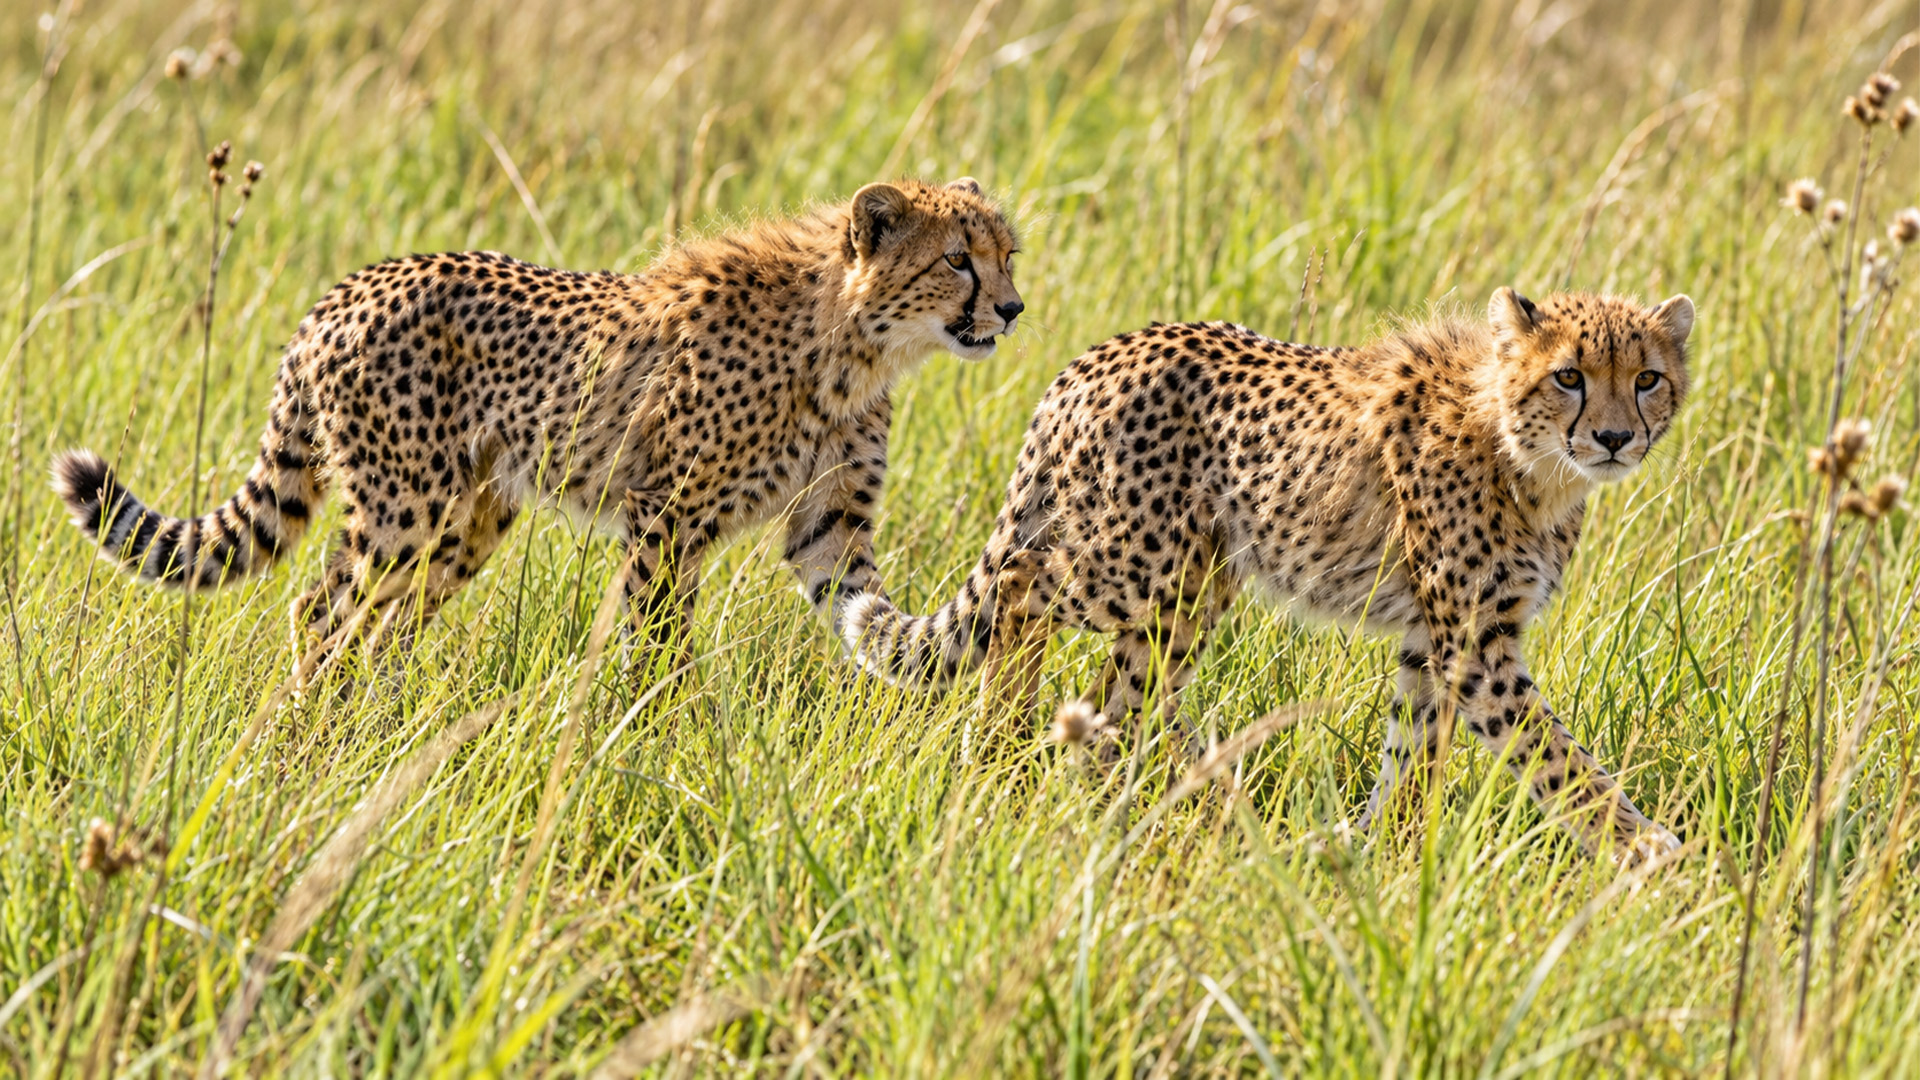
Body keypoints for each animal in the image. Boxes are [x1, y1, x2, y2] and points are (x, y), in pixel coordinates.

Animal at [52, 177, 1022, 675]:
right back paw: (312, 735)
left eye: (1008, 252)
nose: (1011, 308)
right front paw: (657, 737)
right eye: (956, 261)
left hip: (469, 515)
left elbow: (864, 607)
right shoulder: (666, 516)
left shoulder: (829, 523)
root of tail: (349, 286)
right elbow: (654, 640)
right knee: (322, 611)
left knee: (381, 623)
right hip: (404, 509)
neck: (851, 338)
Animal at [841, 287, 1694, 863]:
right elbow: (1560, 761)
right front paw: (1652, 855)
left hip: (1186, 591)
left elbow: (1413, 749)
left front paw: (1381, 849)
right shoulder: (1476, 646)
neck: (1530, 458)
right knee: (1020, 589)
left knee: (1117, 702)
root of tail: (1097, 355)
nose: (1615, 438)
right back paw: (1005, 738)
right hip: (1135, 565)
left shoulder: (1434, 639)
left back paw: (1142, 801)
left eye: (1647, 379)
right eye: (1570, 377)